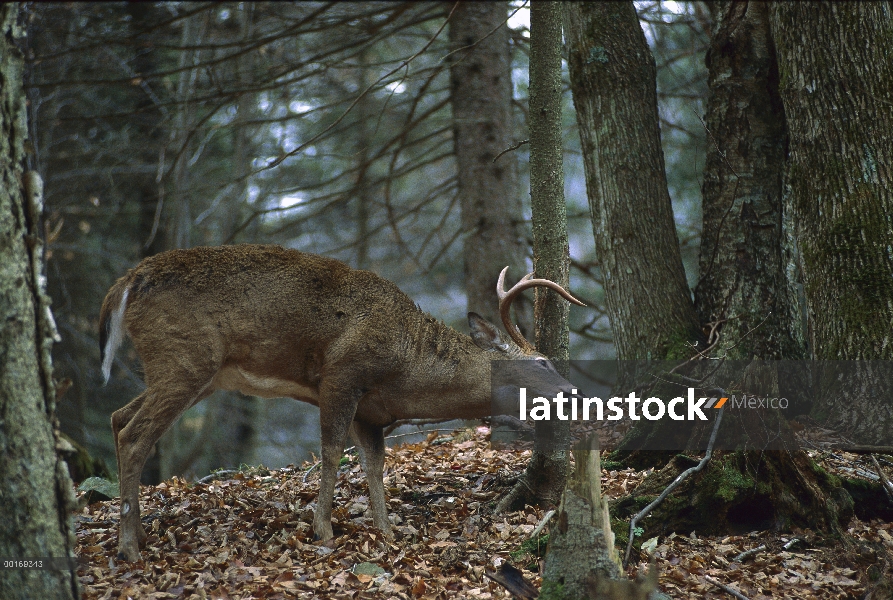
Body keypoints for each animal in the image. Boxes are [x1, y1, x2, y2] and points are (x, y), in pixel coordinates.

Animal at [99, 241, 584, 560]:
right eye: (542, 361)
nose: (574, 391)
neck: (406, 365)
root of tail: (124, 284)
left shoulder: (370, 412)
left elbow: (374, 463)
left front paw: (387, 531)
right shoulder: (341, 375)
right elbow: (332, 450)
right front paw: (324, 529)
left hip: (193, 373)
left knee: (118, 417)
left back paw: (138, 536)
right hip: (183, 359)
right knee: (135, 435)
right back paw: (128, 549)